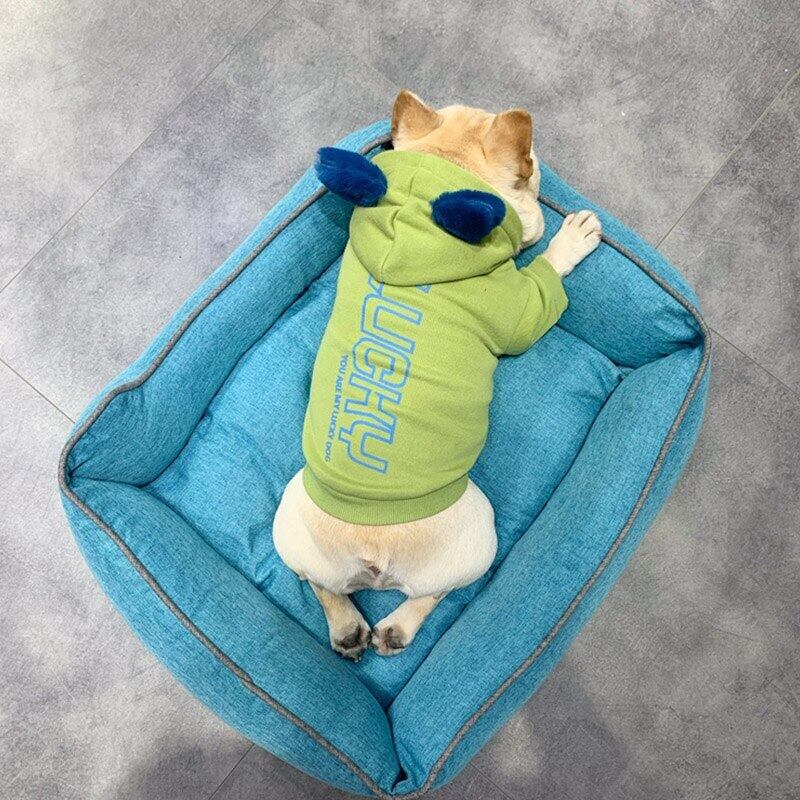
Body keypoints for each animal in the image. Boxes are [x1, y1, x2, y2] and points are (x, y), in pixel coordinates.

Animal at [273, 90, 601, 660]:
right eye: (533, 164)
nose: (540, 169)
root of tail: (373, 547)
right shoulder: (518, 308)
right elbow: (544, 283)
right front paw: (570, 239)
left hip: (290, 519)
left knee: (319, 584)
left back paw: (347, 628)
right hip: (479, 532)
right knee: (436, 593)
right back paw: (396, 628)